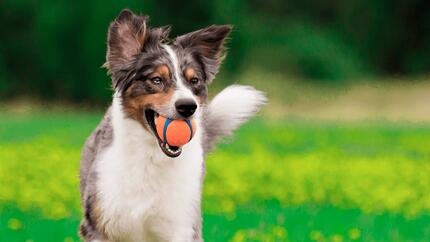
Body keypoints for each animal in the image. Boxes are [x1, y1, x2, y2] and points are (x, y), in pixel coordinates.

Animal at [78, 8, 264, 241]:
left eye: (194, 81)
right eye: (157, 80)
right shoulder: (100, 222)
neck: (152, 157)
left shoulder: (181, 224)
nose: (188, 107)